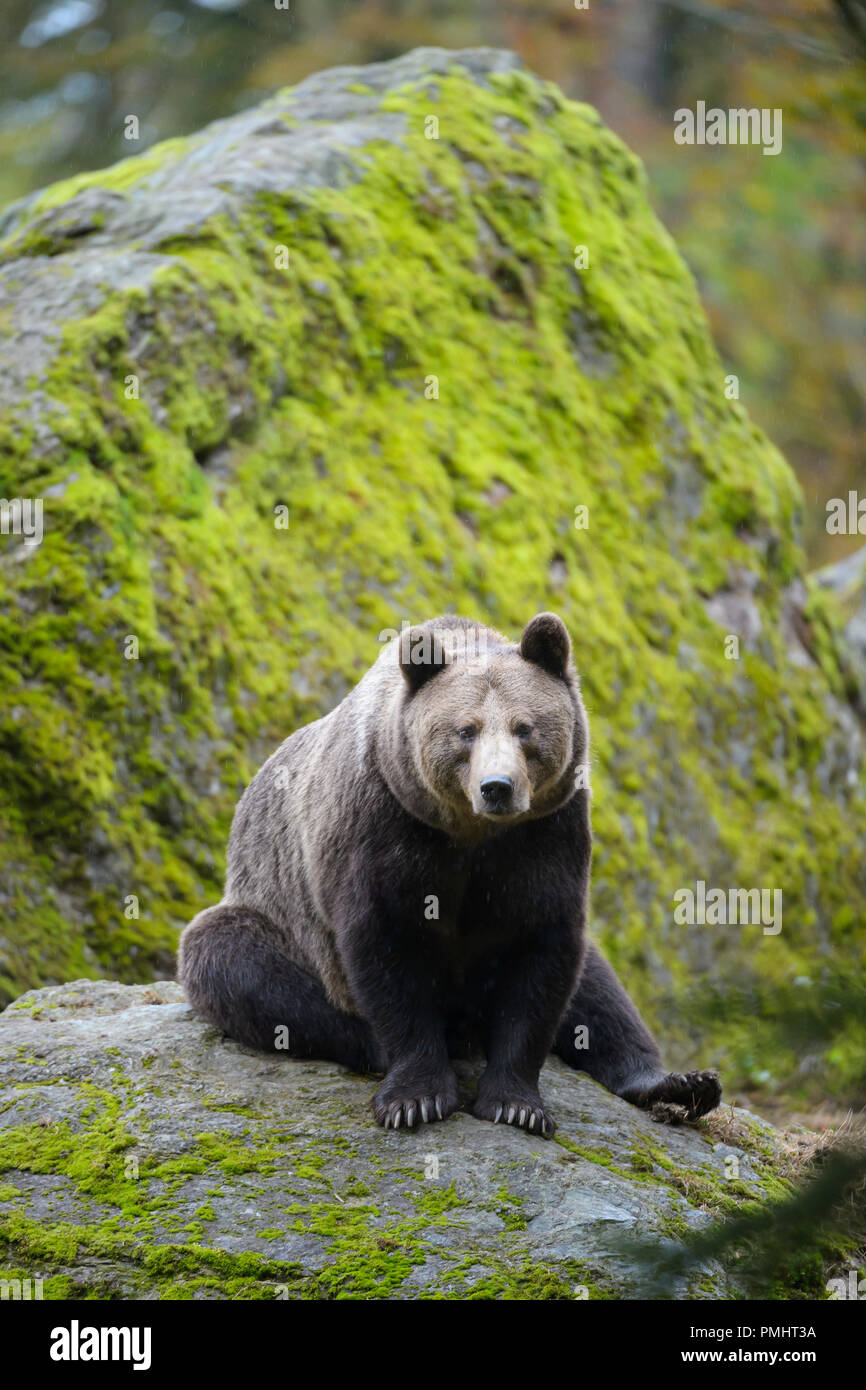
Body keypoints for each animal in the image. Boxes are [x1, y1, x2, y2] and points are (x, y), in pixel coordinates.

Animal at [178, 613, 721, 1136]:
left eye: (525, 728)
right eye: (466, 730)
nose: (497, 786)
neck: (471, 833)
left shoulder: (548, 837)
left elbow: (544, 959)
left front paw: (516, 1104)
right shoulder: (382, 828)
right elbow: (387, 953)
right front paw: (415, 1099)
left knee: (601, 991)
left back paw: (680, 1083)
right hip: (275, 918)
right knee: (240, 962)